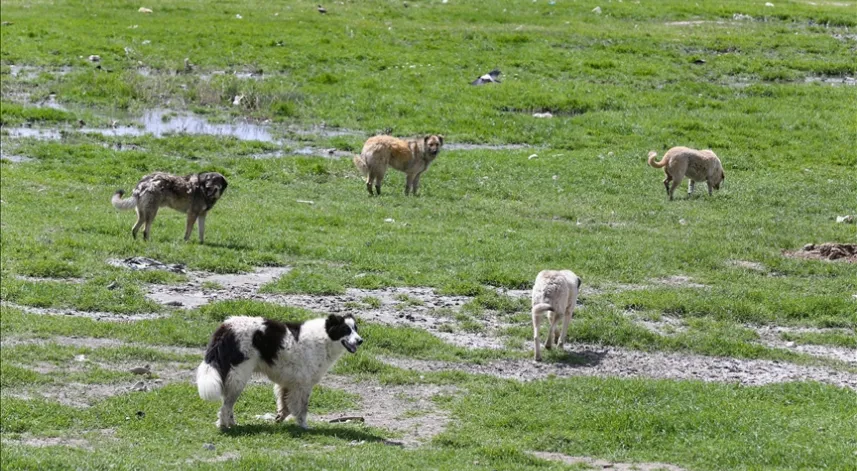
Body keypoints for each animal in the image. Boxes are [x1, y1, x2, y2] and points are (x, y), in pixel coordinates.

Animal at [196, 316, 362, 430]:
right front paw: (304, 426)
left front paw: (279, 419)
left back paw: (231, 424)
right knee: (226, 406)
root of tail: (226, 327)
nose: (360, 341)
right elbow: (302, 409)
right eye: (346, 330)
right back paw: (226, 426)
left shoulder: (289, 383)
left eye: (355, 329)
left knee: (226, 404)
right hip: (239, 377)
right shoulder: (303, 385)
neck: (325, 337)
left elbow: (286, 406)